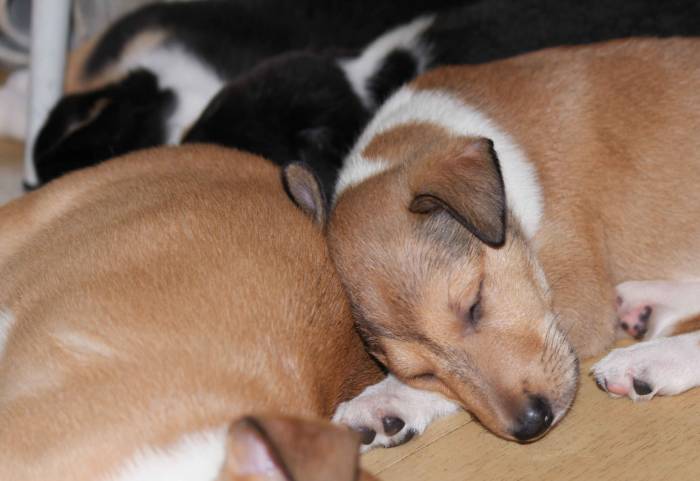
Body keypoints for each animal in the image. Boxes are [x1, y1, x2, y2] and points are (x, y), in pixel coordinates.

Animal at [283, 37, 700, 445]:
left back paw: (646, 362)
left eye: (474, 303)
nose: (532, 425)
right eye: (421, 372)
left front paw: (383, 399)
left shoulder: (581, 299)